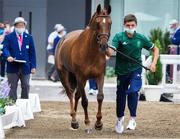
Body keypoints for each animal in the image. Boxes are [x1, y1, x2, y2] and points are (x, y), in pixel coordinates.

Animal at [54, 4, 111, 132]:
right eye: (97, 23)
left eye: (110, 23)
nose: (104, 46)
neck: (90, 52)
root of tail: (63, 39)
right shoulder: (80, 77)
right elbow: (85, 101)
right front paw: (88, 123)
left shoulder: (100, 76)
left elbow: (100, 97)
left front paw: (98, 123)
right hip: (64, 75)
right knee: (70, 94)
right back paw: (74, 120)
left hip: (81, 80)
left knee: (76, 95)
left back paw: (74, 120)